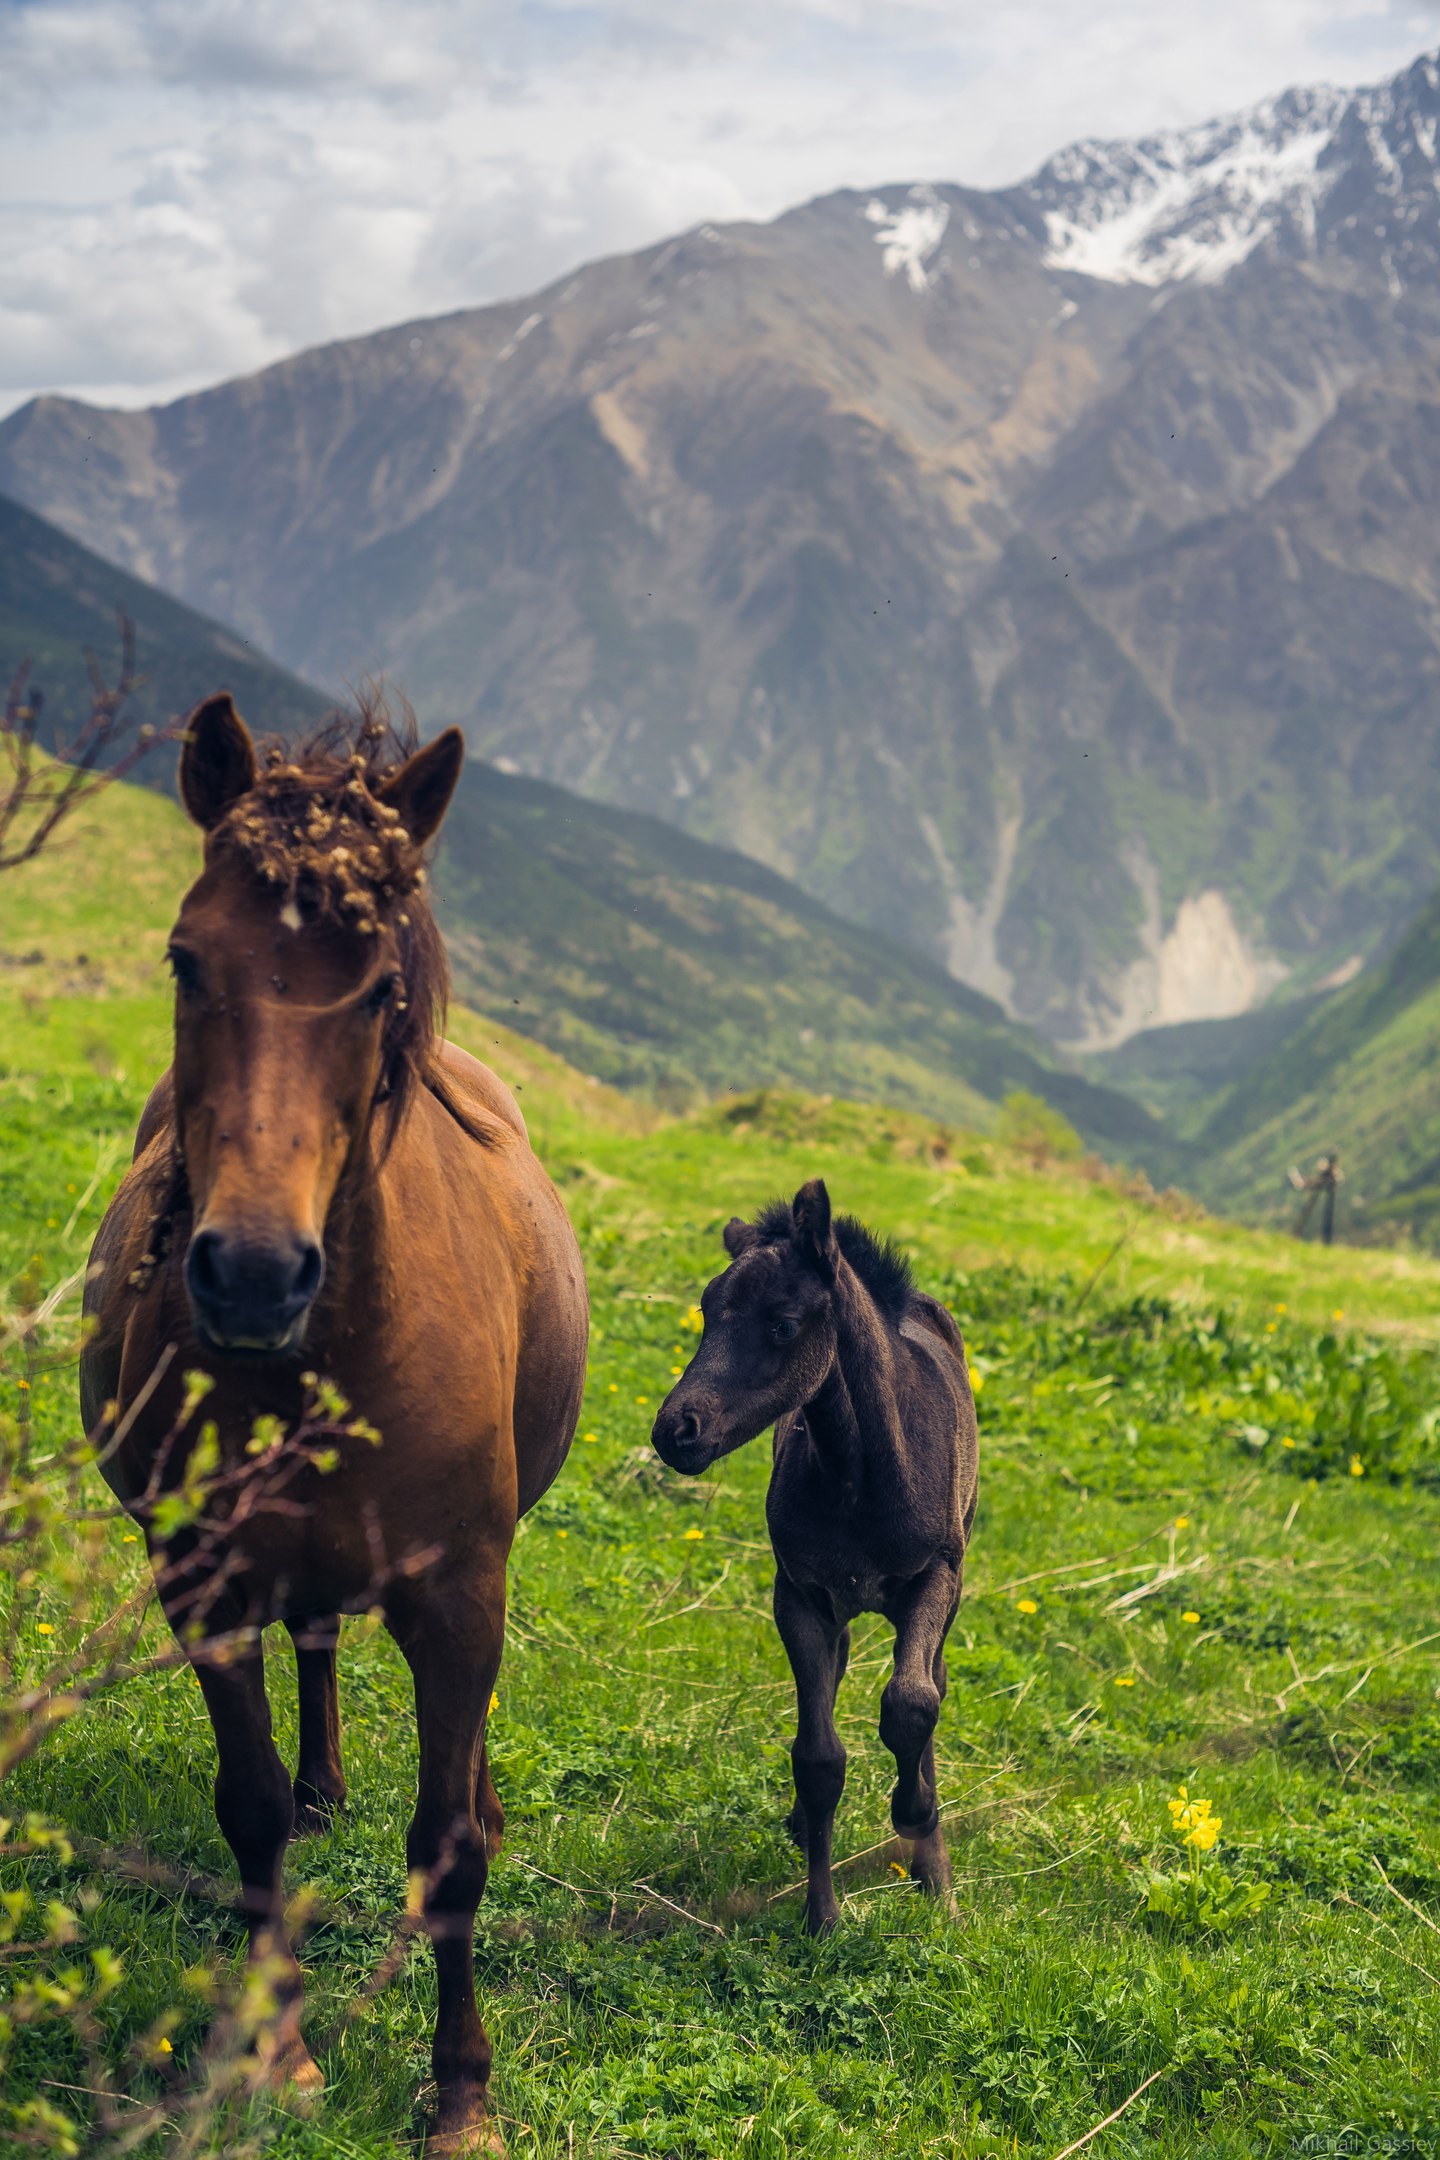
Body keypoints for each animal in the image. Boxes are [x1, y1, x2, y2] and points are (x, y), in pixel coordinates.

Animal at [77, 699, 587, 2151]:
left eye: (378, 994)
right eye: (187, 959)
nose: (253, 1272)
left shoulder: (461, 1596)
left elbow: (449, 1849)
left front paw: (462, 2096)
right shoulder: (204, 1580)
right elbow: (248, 1816)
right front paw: (281, 2050)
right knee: (310, 1652)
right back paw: (322, 1785)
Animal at [651, 1192, 980, 1935]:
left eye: (784, 1324)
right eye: (708, 1312)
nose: (675, 1431)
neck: (860, 1477)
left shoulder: (936, 1576)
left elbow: (913, 1703)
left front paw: (918, 1825)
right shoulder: (800, 1593)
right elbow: (819, 1756)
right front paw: (822, 1917)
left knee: (934, 1681)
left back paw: (934, 1869)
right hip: (838, 1606)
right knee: (839, 1669)